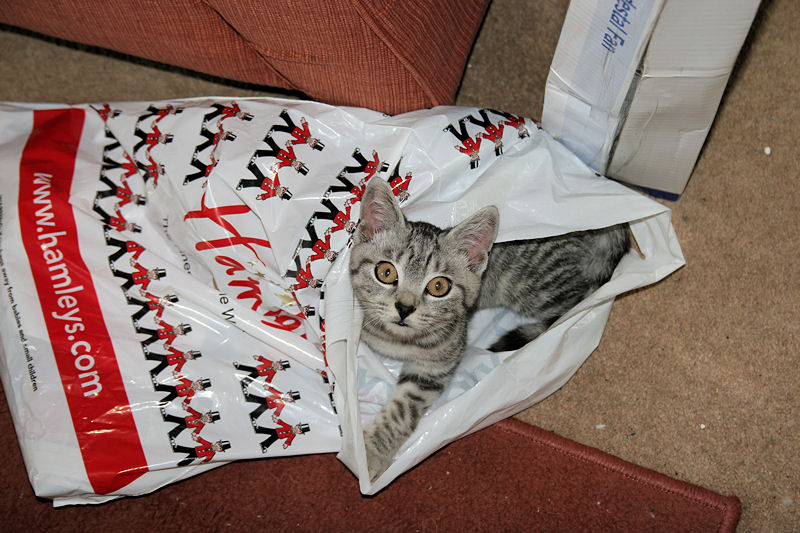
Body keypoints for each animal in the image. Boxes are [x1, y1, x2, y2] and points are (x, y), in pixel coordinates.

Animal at [350, 178, 632, 478]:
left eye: (438, 286)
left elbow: (403, 410)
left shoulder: (435, 366)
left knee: (576, 298)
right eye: (386, 272)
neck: (396, 340)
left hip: (532, 287)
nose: (404, 308)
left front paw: (372, 453)